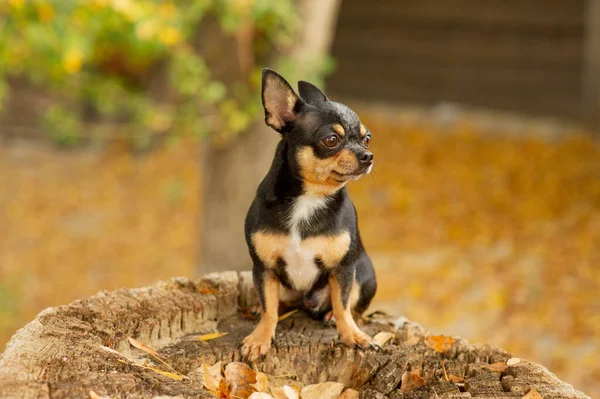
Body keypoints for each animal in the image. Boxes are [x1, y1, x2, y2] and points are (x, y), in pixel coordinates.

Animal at [241, 69, 378, 362]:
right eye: (331, 140)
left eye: (367, 138)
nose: (368, 155)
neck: (310, 197)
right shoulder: (263, 267)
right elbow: (269, 307)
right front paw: (260, 338)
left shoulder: (343, 268)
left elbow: (343, 304)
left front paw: (353, 336)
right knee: (277, 302)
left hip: (364, 272)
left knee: (352, 304)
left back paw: (330, 316)